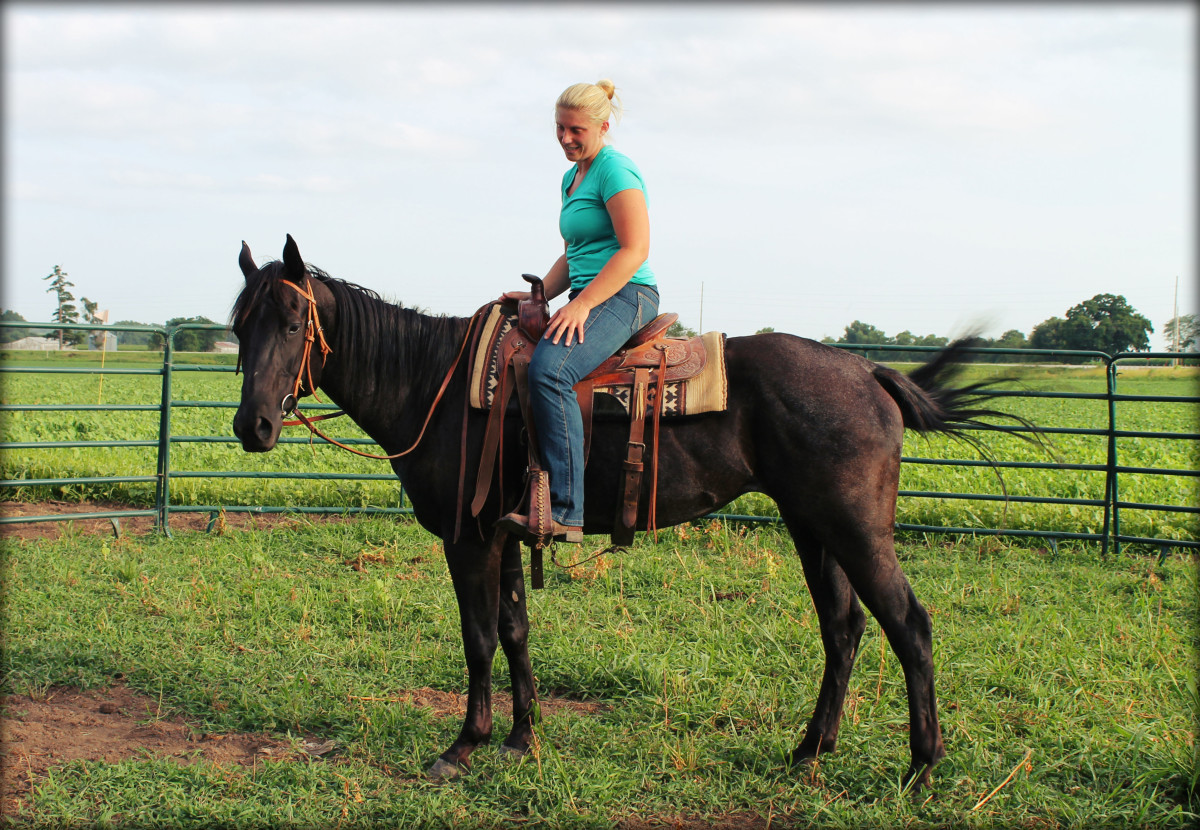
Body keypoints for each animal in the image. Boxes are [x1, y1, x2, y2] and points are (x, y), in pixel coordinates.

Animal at [231, 233, 1032, 791]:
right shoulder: (507, 534)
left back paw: (921, 769)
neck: (438, 384)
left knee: (909, 626)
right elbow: (516, 631)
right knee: (845, 629)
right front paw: (522, 737)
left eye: (294, 321)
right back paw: (808, 752)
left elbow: (479, 638)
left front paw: (465, 745)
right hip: (814, 530)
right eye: (240, 326)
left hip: (857, 531)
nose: (252, 426)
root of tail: (867, 370)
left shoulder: (469, 537)